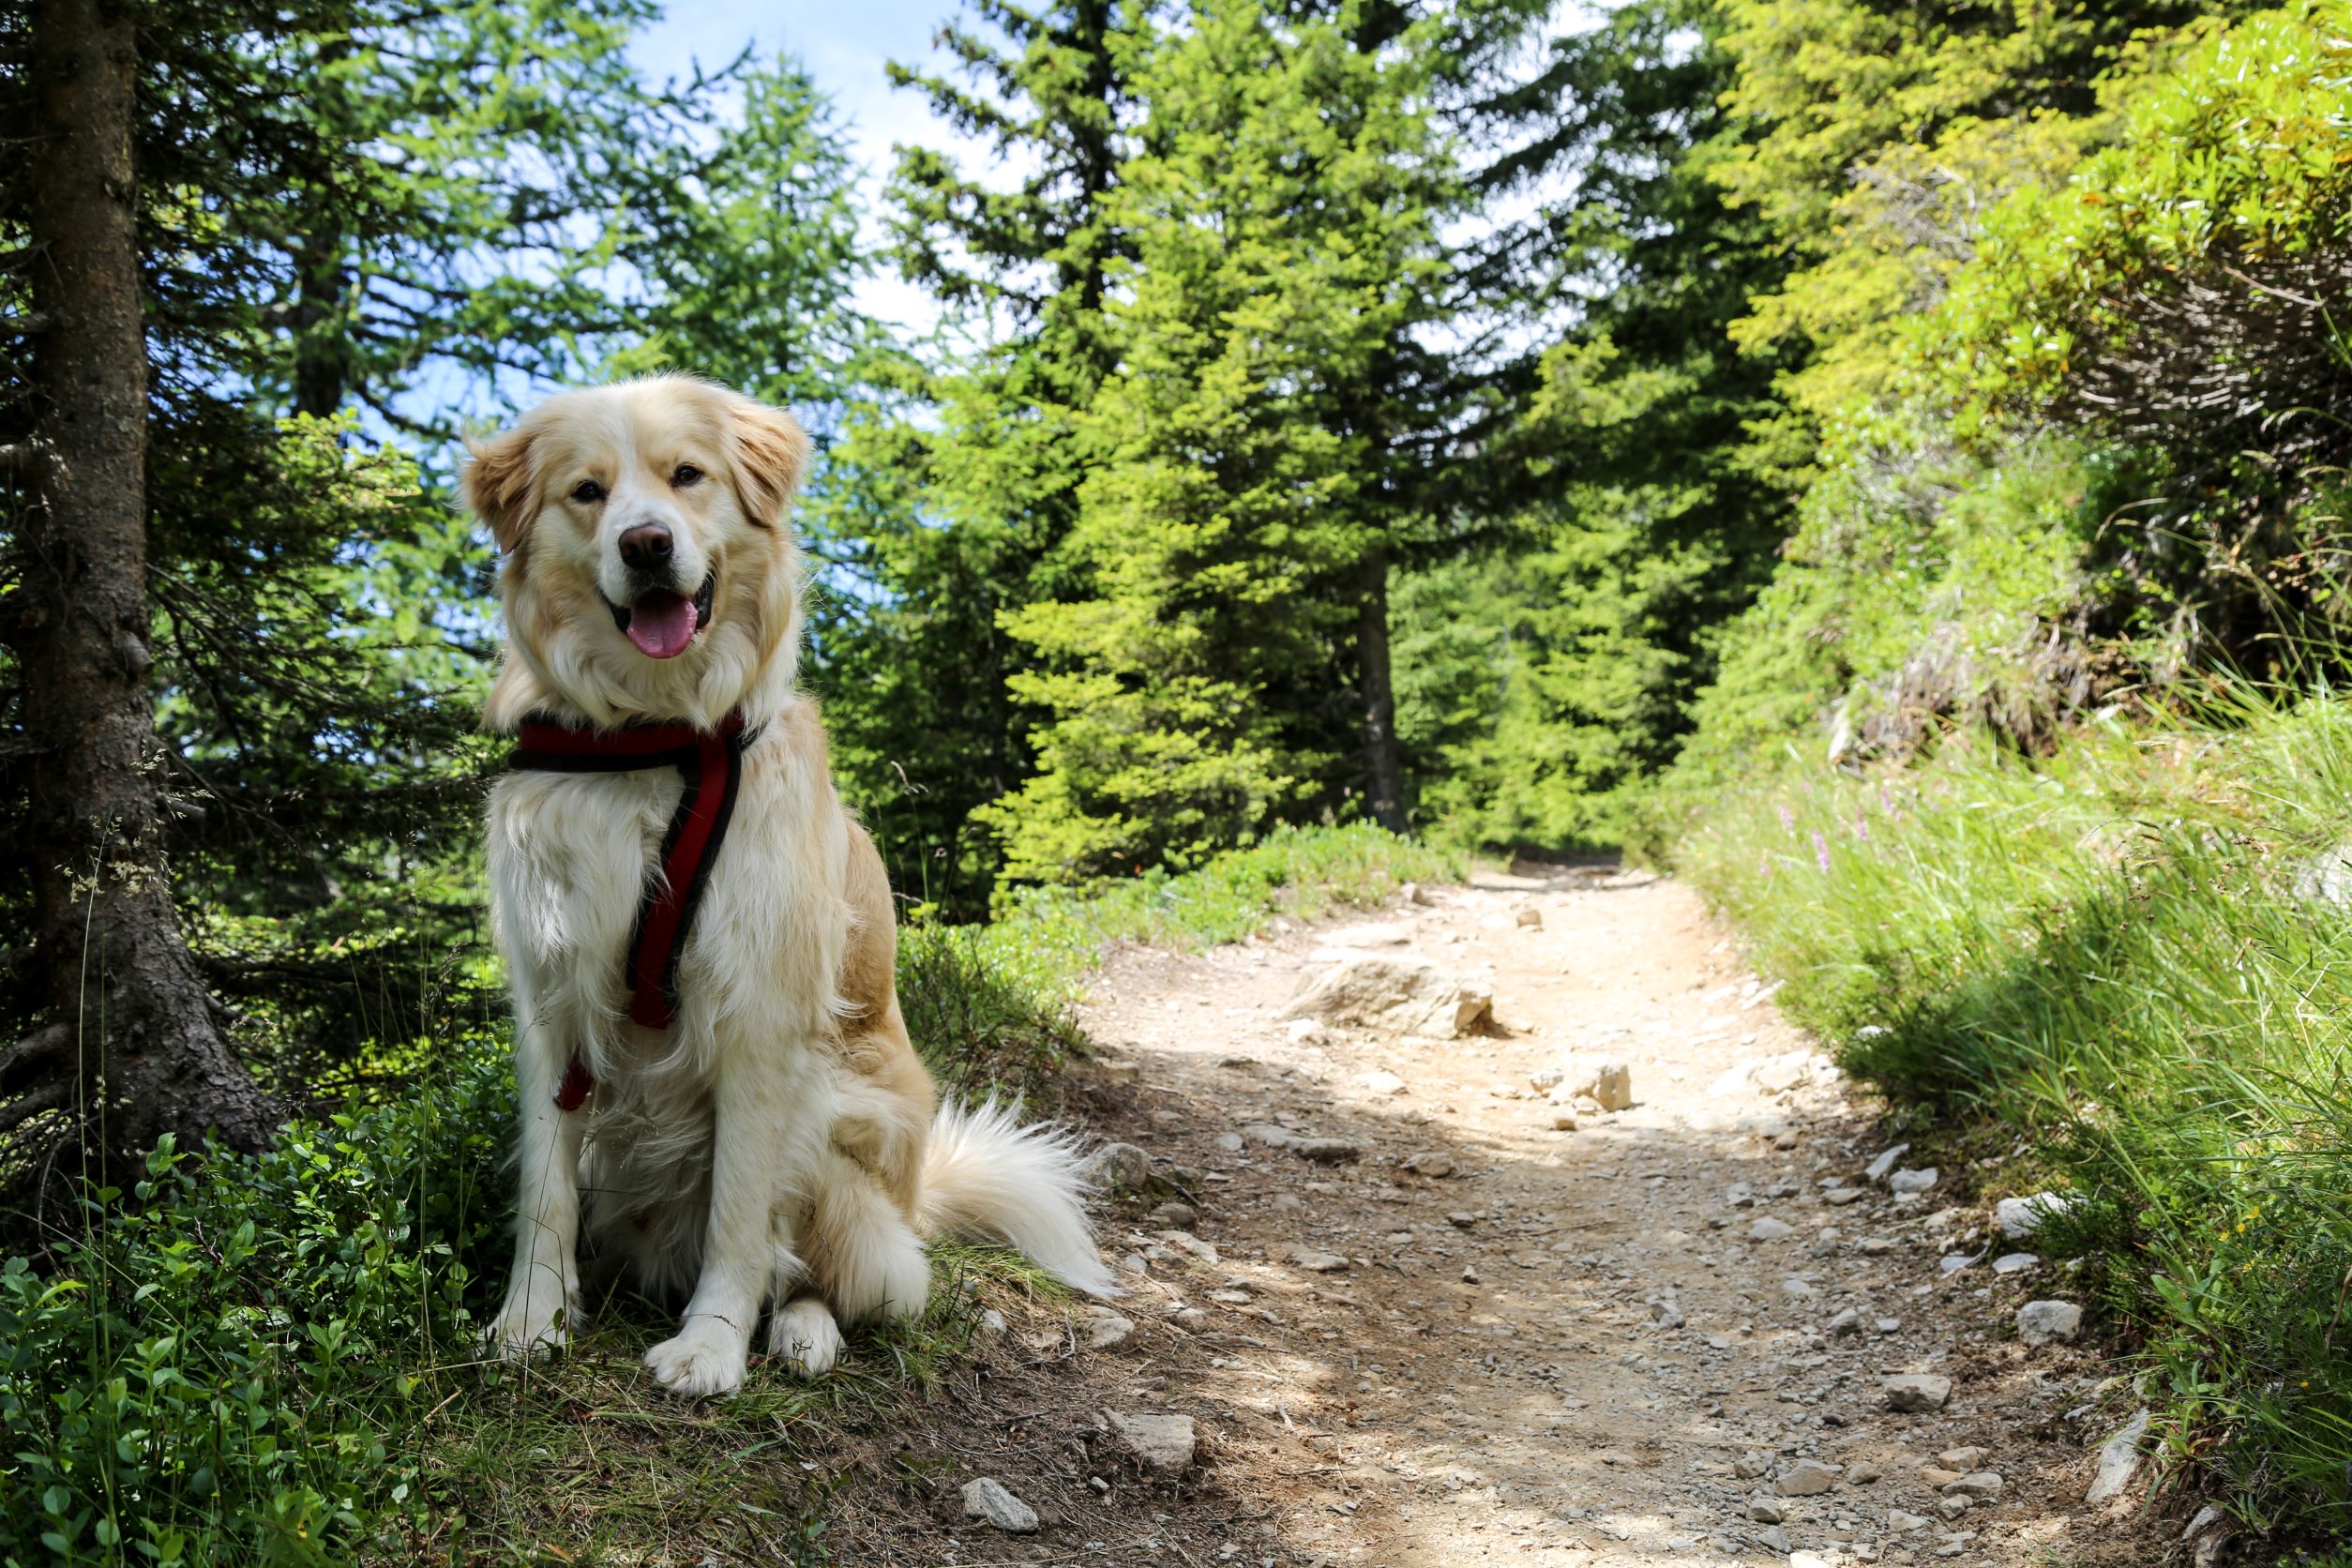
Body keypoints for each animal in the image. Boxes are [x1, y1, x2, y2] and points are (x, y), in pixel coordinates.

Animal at [463, 376, 1114, 1401]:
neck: (660, 737)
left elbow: (741, 1207)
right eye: (587, 492)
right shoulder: (552, 996)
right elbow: (545, 1186)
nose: (645, 545)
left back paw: (803, 1332)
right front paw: (531, 1320)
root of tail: (915, 1197)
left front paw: (712, 1345)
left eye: (688, 476)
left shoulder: (761, 1013)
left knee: (839, 1272)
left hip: (847, 1128)